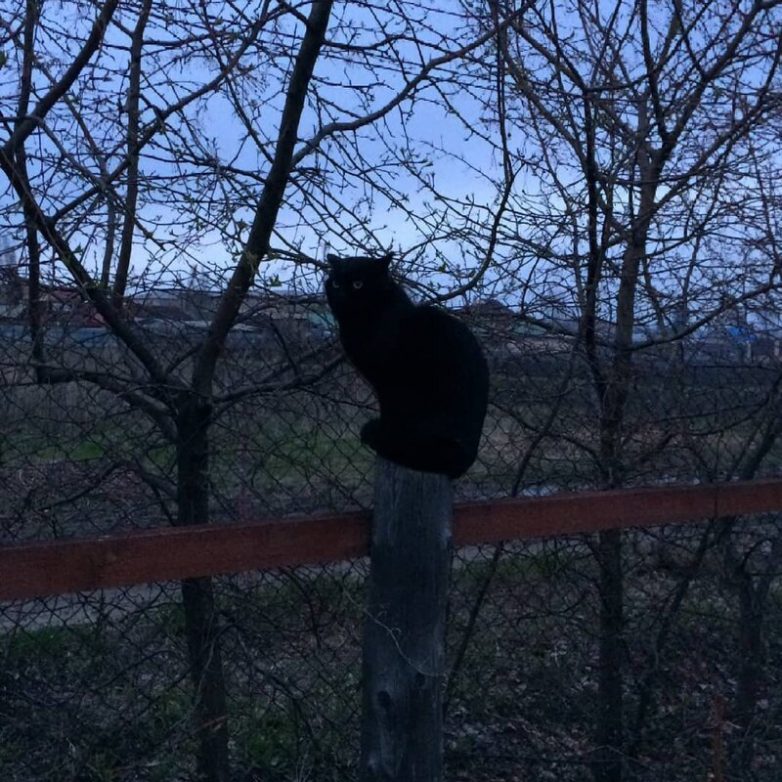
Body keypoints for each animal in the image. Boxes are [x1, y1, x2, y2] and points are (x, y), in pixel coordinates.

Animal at [325, 252, 489, 478]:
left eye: (358, 284)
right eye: (336, 283)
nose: (341, 295)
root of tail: (465, 460)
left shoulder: (389, 381)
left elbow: (390, 411)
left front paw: (383, 432)